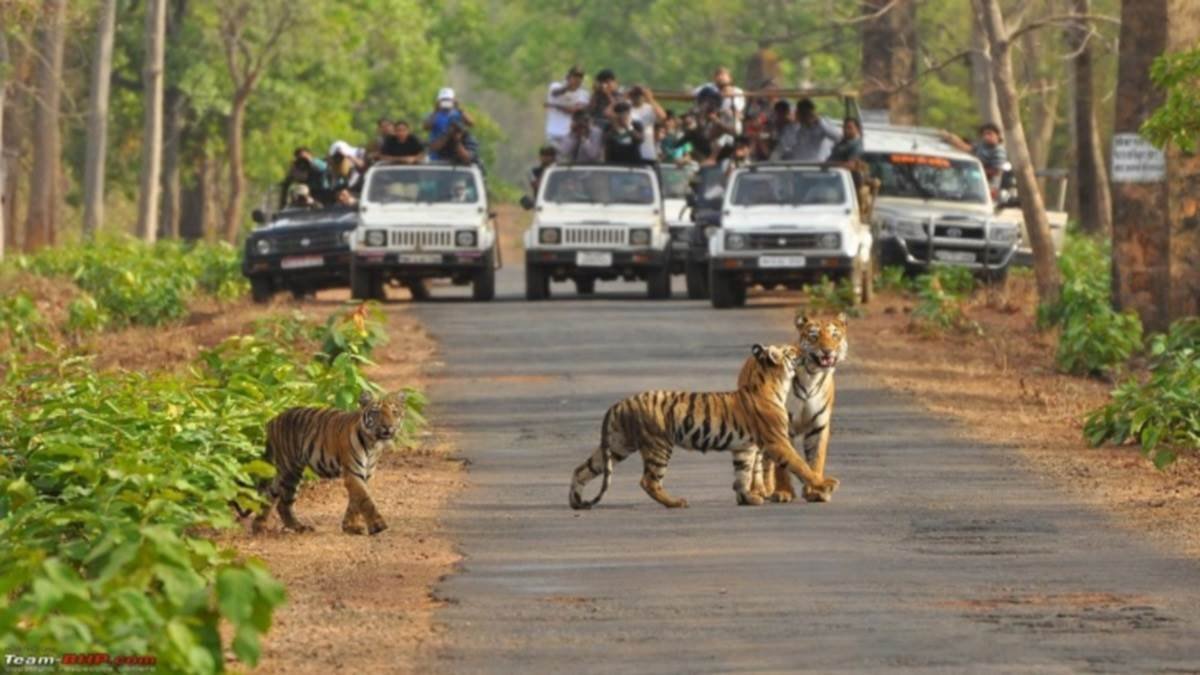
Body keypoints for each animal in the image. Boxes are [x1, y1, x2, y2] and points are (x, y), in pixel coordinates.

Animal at [238, 391, 408, 533]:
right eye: (376, 412)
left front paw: (350, 526)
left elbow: (355, 501)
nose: (388, 426)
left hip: (284, 472)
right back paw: (296, 527)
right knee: (282, 502)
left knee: (270, 496)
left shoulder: (366, 474)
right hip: (289, 470)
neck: (373, 444)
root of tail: (272, 420)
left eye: (394, 412)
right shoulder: (353, 473)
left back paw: (261, 526)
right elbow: (365, 499)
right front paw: (378, 526)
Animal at [568, 343, 835, 506]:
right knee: (649, 481)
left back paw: (575, 501)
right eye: (791, 350)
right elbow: (800, 465)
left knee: (582, 469)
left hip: (617, 445)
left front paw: (747, 498)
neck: (774, 383)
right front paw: (824, 485)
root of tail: (620, 403)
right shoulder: (777, 441)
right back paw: (675, 503)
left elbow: (743, 474)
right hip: (658, 445)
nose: (803, 348)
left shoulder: (744, 448)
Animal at [753, 312, 849, 502]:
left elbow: (815, 460)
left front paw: (815, 491)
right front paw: (783, 492)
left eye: (835, 336)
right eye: (814, 336)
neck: (812, 375)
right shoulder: (782, 426)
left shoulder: (818, 426)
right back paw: (763, 490)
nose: (827, 350)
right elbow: (783, 464)